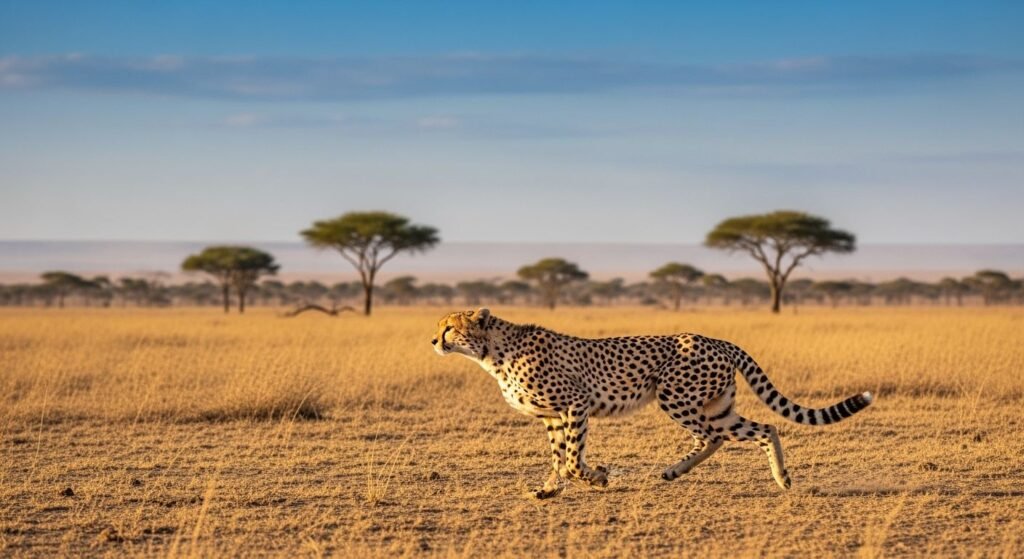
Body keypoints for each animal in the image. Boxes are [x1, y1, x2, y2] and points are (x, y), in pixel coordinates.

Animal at [432, 308, 874, 498]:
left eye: (449, 327)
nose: (434, 340)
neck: (492, 353)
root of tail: (716, 339)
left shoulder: (576, 404)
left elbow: (573, 459)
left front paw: (598, 477)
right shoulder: (553, 416)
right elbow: (559, 458)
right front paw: (549, 489)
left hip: (675, 396)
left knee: (713, 438)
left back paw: (679, 471)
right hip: (717, 405)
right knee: (764, 427)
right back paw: (777, 478)